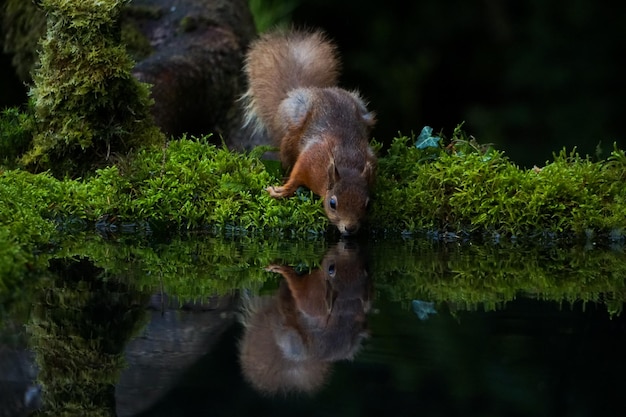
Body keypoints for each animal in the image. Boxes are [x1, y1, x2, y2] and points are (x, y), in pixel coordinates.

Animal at [241, 30, 372, 234]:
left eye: (367, 205)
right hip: (290, 138)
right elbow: (297, 174)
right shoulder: (311, 157)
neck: (347, 163)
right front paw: (283, 190)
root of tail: (311, 90)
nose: (350, 228)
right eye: (332, 203)